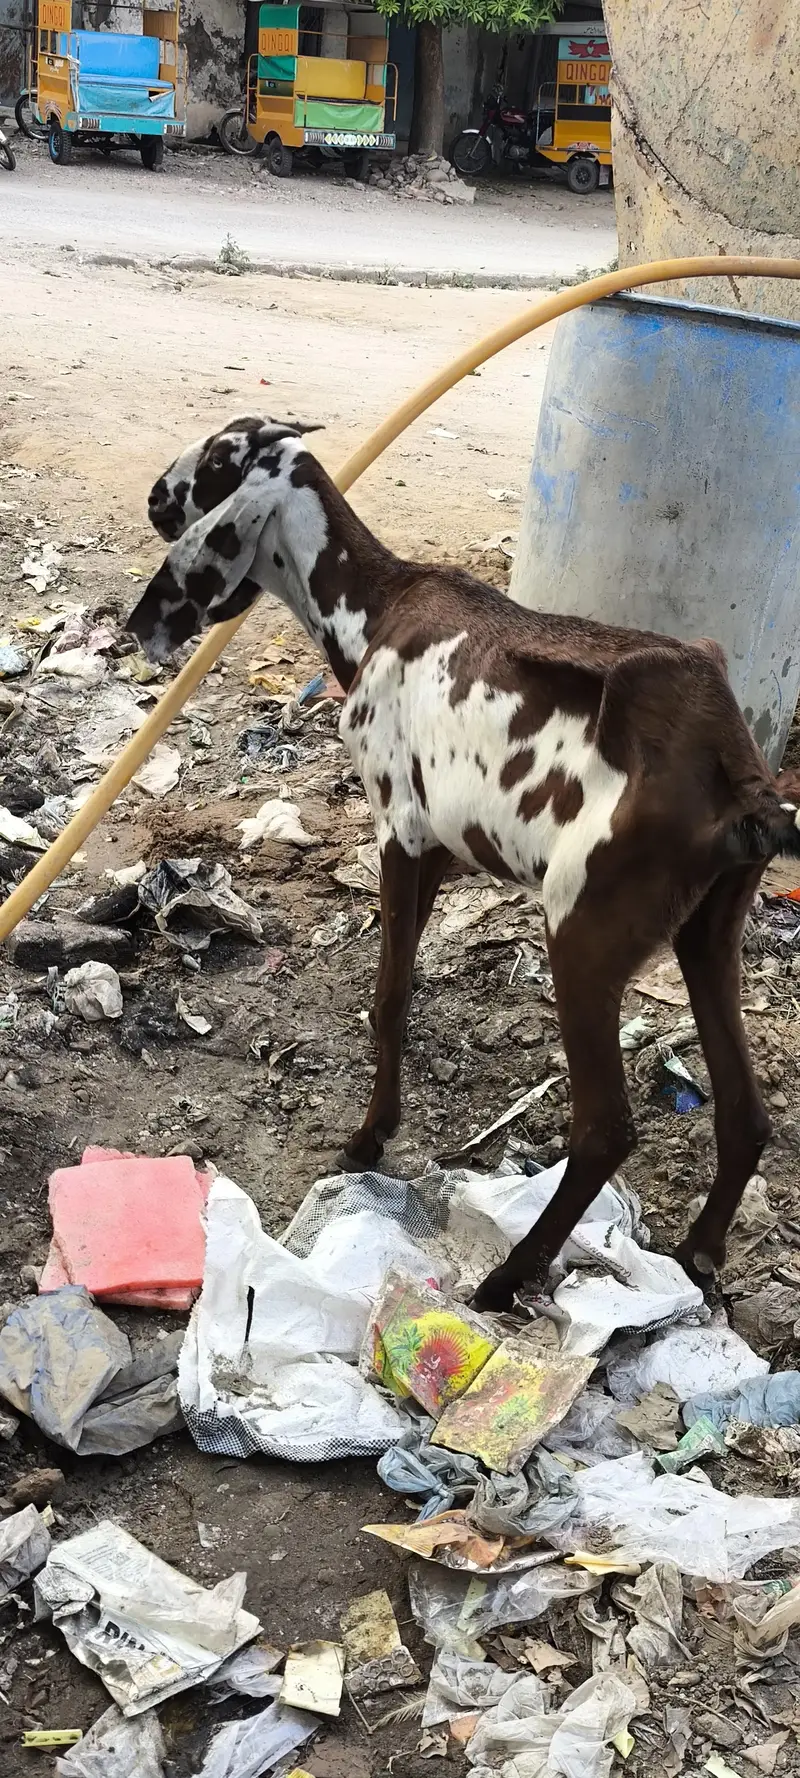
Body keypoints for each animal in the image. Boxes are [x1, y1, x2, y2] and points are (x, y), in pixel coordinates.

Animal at [128, 415, 800, 1313]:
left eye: (212, 463)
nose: (152, 500)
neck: (379, 606)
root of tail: (736, 771)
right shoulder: (446, 850)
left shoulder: (400, 834)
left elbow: (390, 999)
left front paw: (369, 1139)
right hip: (708, 933)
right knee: (745, 1112)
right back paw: (697, 1256)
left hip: (584, 934)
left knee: (604, 1127)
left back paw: (509, 1276)